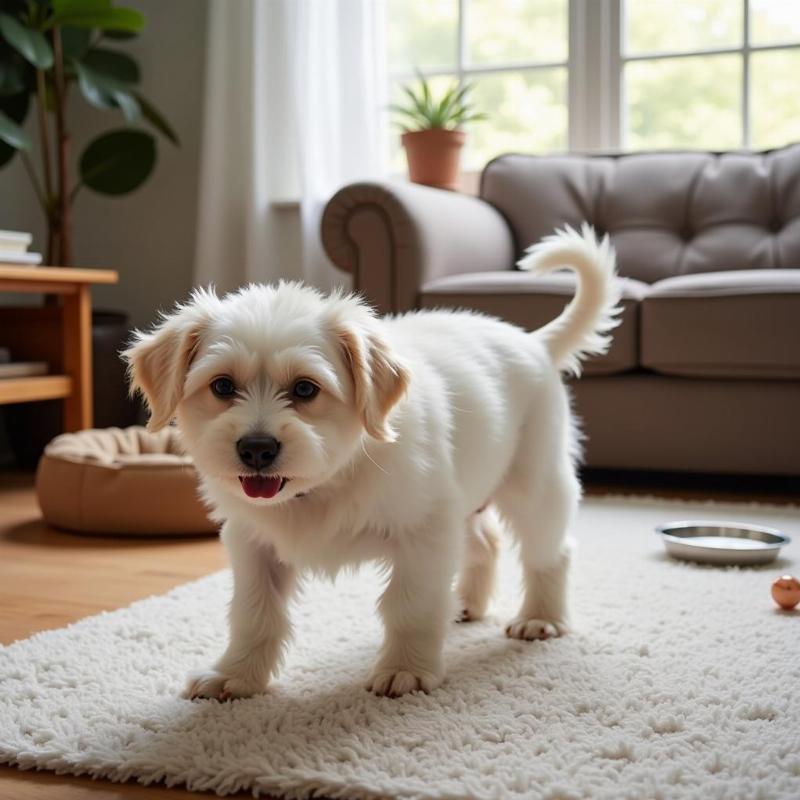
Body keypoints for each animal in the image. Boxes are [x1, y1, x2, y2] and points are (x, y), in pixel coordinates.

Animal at [126, 222, 620, 696]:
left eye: (305, 388)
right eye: (223, 386)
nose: (256, 449)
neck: (327, 482)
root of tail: (535, 341)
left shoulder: (425, 531)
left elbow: (410, 606)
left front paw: (407, 671)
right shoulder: (252, 542)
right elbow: (254, 613)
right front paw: (236, 676)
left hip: (536, 486)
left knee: (550, 552)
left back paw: (541, 617)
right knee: (485, 543)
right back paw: (465, 604)